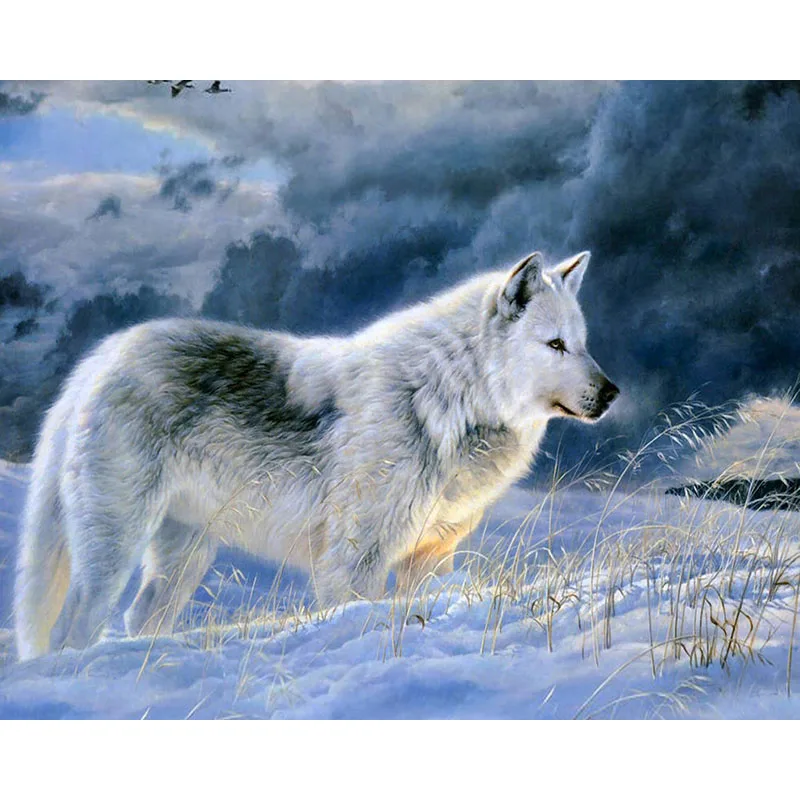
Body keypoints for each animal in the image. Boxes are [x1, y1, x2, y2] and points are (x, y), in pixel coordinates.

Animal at [14, 249, 618, 660]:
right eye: (555, 345)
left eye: (584, 344)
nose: (612, 393)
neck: (446, 398)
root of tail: (101, 357)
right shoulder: (352, 562)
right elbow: (355, 616)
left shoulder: (431, 557)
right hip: (113, 550)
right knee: (73, 629)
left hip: (184, 556)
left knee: (141, 619)